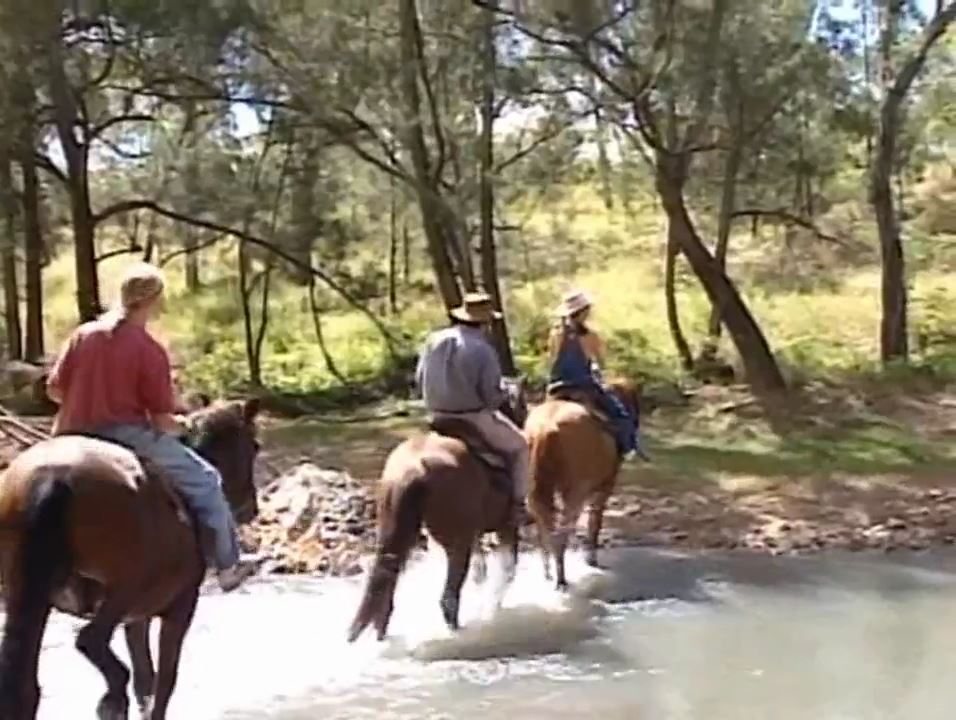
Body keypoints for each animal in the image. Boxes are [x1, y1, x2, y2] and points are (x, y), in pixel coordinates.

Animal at [0, 400, 262, 720]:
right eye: (255, 446)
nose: (251, 508)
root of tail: (53, 474)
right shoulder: (180, 607)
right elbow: (163, 682)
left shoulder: (136, 618)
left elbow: (145, 679)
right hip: (124, 590)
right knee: (90, 640)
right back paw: (113, 697)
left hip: (28, 595)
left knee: (26, 686)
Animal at [350, 376, 532, 640]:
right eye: (523, 404)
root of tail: (413, 468)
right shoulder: (506, 528)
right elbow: (506, 571)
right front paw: (493, 610)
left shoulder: (476, 537)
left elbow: (482, 574)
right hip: (458, 545)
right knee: (449, 598)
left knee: (387, 588)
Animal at [524, 380, 644, 588]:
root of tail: (545, 427)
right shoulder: (604, 487)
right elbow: (594, 522)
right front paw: (591, 559)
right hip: (574, 493)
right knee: (561, 532)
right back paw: (561, 578)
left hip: (537, 492)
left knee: (544, 529)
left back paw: (548, 572)